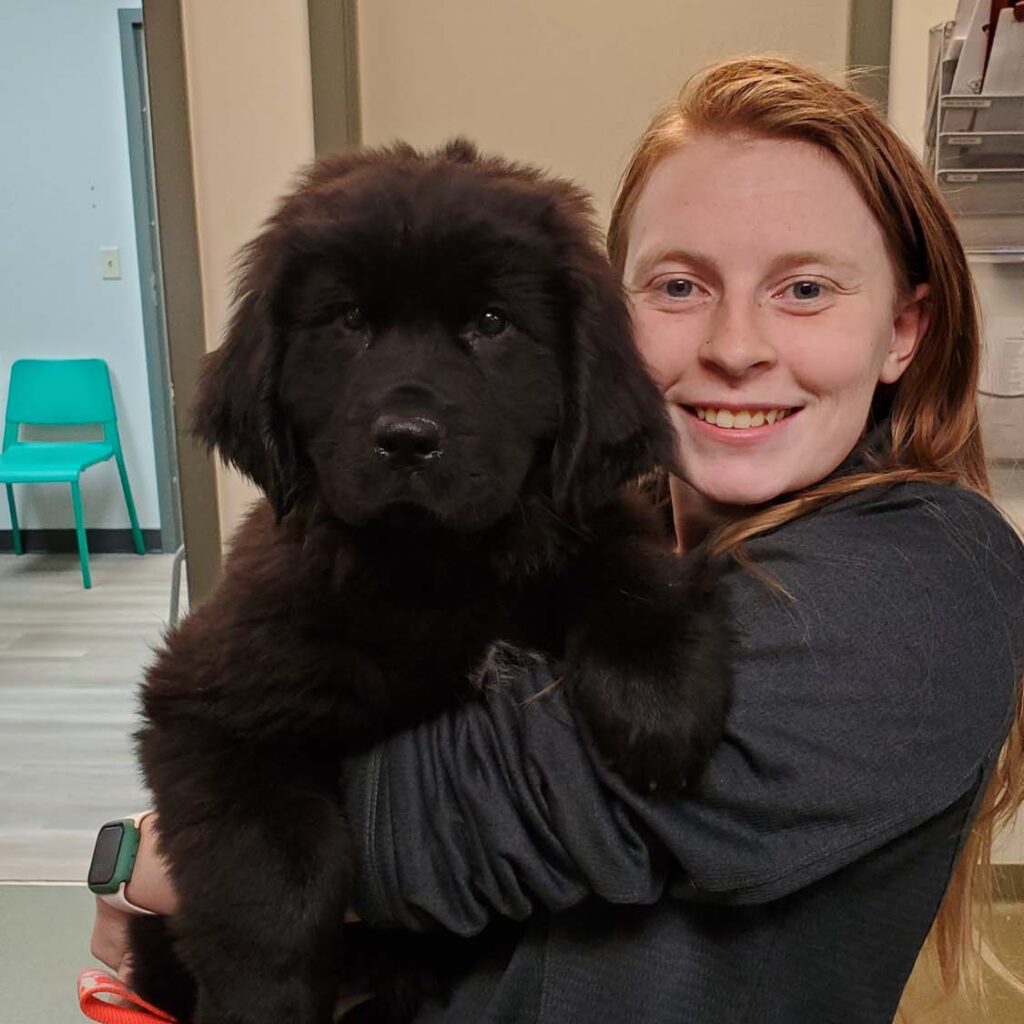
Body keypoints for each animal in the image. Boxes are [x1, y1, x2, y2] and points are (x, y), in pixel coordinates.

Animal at [128, 142, 733, 1024]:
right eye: (349, 321)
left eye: (491, 323)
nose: (408, 439)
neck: (440, 566)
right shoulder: (206, 709)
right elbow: (275, 880)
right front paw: (263, 1000)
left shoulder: (582, 514)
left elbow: (625, 559)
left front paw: (657, 697)